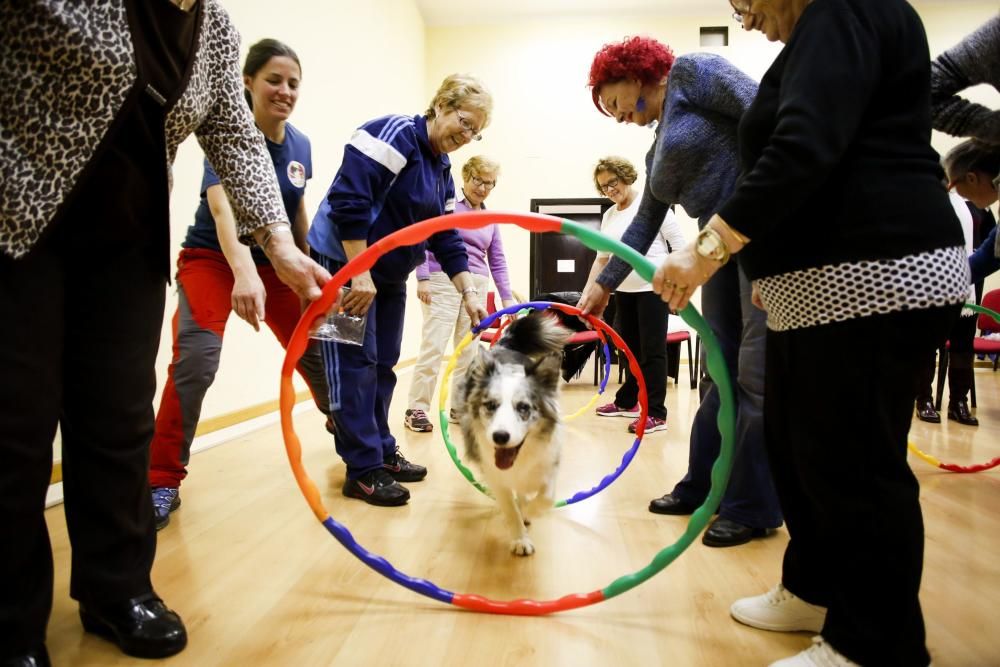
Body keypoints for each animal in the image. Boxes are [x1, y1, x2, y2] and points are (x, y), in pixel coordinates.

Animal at [456, 314, 568, 560]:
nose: (500, 437)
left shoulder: (549, 464)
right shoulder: (496, 476)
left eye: (523, 408)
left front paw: (530, 511)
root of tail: (503, 346)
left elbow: (546, 498)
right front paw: (520, 539)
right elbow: (510, 507)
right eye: (491, 405)